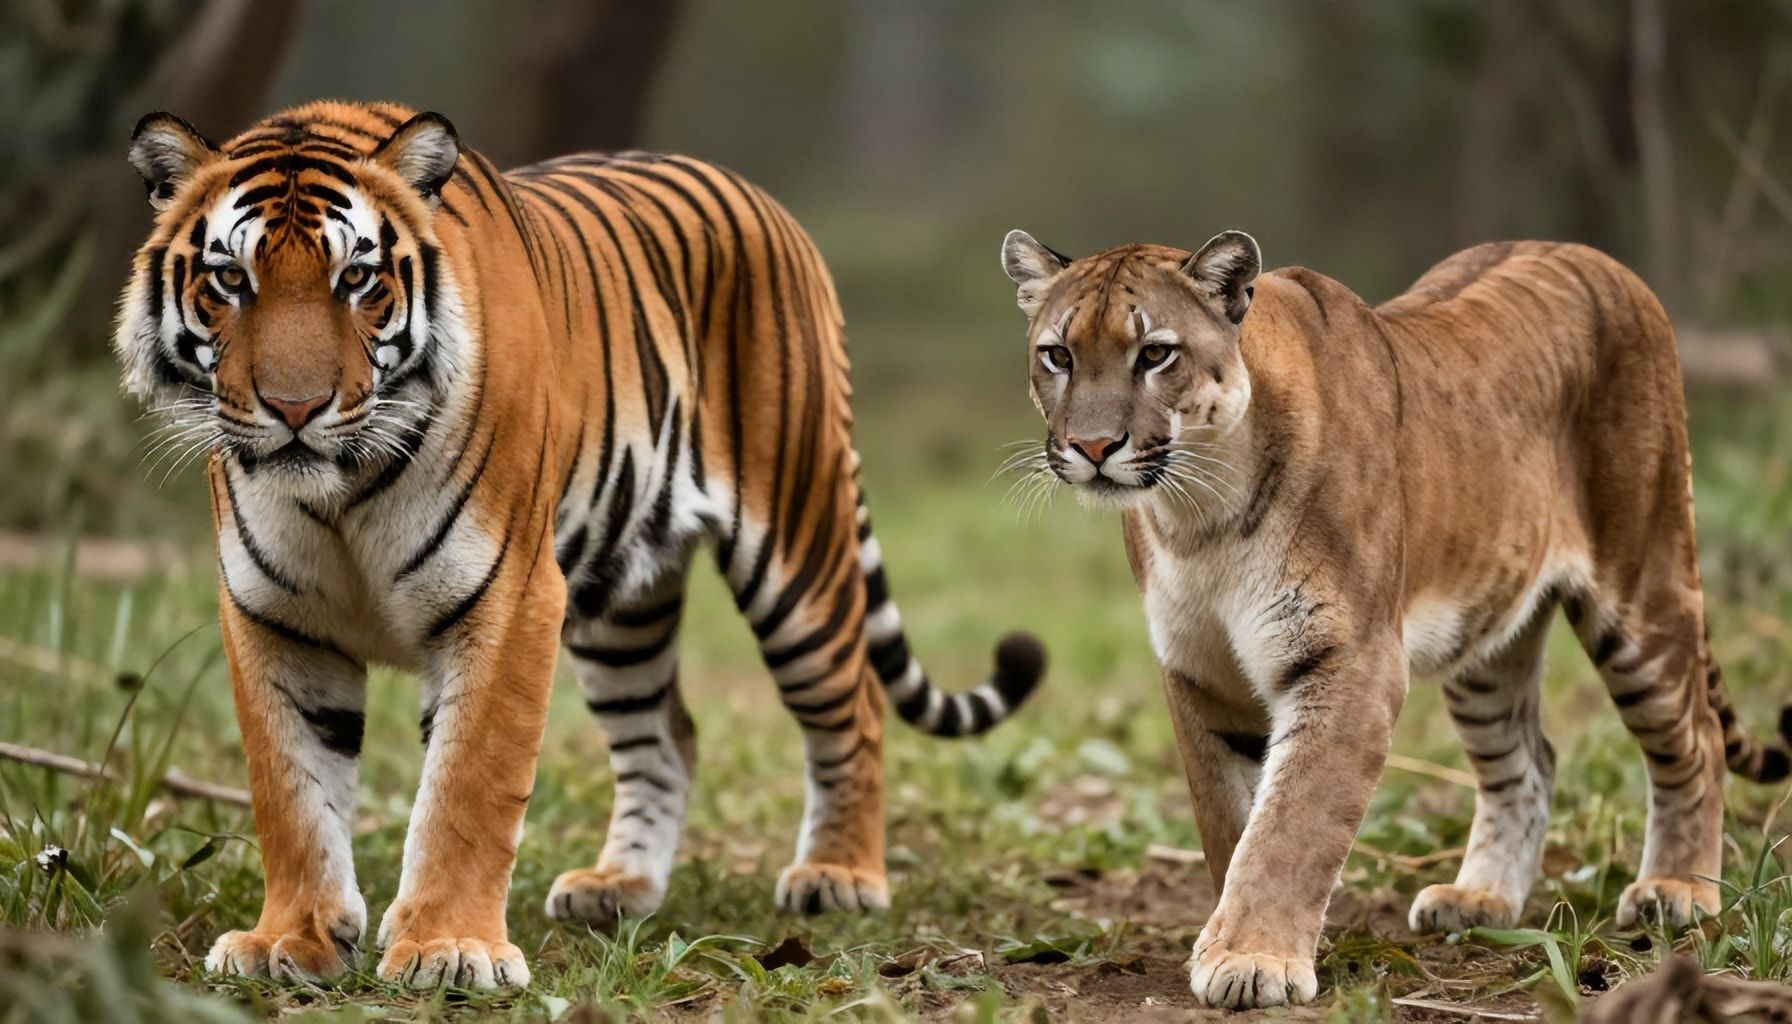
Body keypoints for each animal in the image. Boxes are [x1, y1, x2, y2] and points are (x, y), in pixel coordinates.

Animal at [112, 99, 1045, 991]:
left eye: (357, 279)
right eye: (231, 279)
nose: (295, 409)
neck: (340, 490)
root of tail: (763, 198)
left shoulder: (507, 596)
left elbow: (468, 786)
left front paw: (451, 950)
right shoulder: (274, 618)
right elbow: (292, 794)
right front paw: (290, 940)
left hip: (797, 547)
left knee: (853, 703)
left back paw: (839, 876)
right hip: (619, 603)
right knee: (668, 736)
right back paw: (618, 887)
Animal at [997, 228, 1792, 1008]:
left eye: (1155, 354)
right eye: (1058, 355)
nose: (1093, 448)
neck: (1201, 512)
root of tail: (1593, 255)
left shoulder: (1352, 661)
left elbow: (1290, 824)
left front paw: (1252, 958)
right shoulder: (1202, 675)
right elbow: (1231, 822)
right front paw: (1233, 939)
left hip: (1642, 588)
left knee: (1694, 739)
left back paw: (1677, 892)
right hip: (1485, 646)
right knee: (1528, 762)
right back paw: (1479, 900)